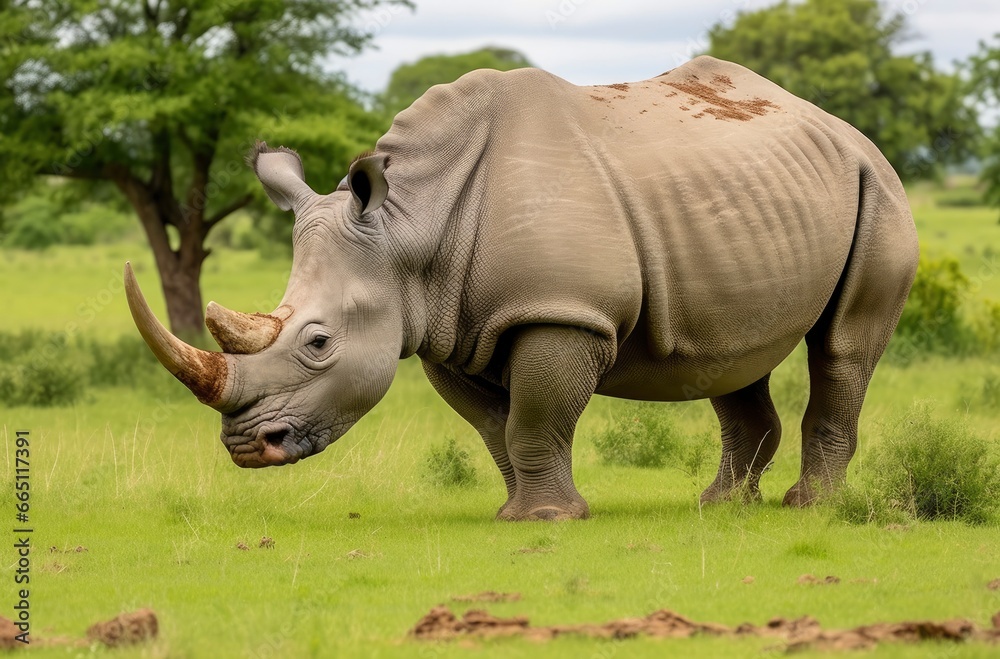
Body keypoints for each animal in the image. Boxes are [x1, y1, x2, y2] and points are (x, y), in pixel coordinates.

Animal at [125, 56, 918, 521]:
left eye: (317, 342)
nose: (246, 447)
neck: (409, 228)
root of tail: (838, 126)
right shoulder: (445, 327)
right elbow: (495, 426)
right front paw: (517, 511)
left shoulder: (560, 313)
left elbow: (536, 415)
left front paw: (546, 520)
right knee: (731, 352)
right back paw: (720, 506)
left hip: (877, 186)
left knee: (842, 348)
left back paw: (806, 508)